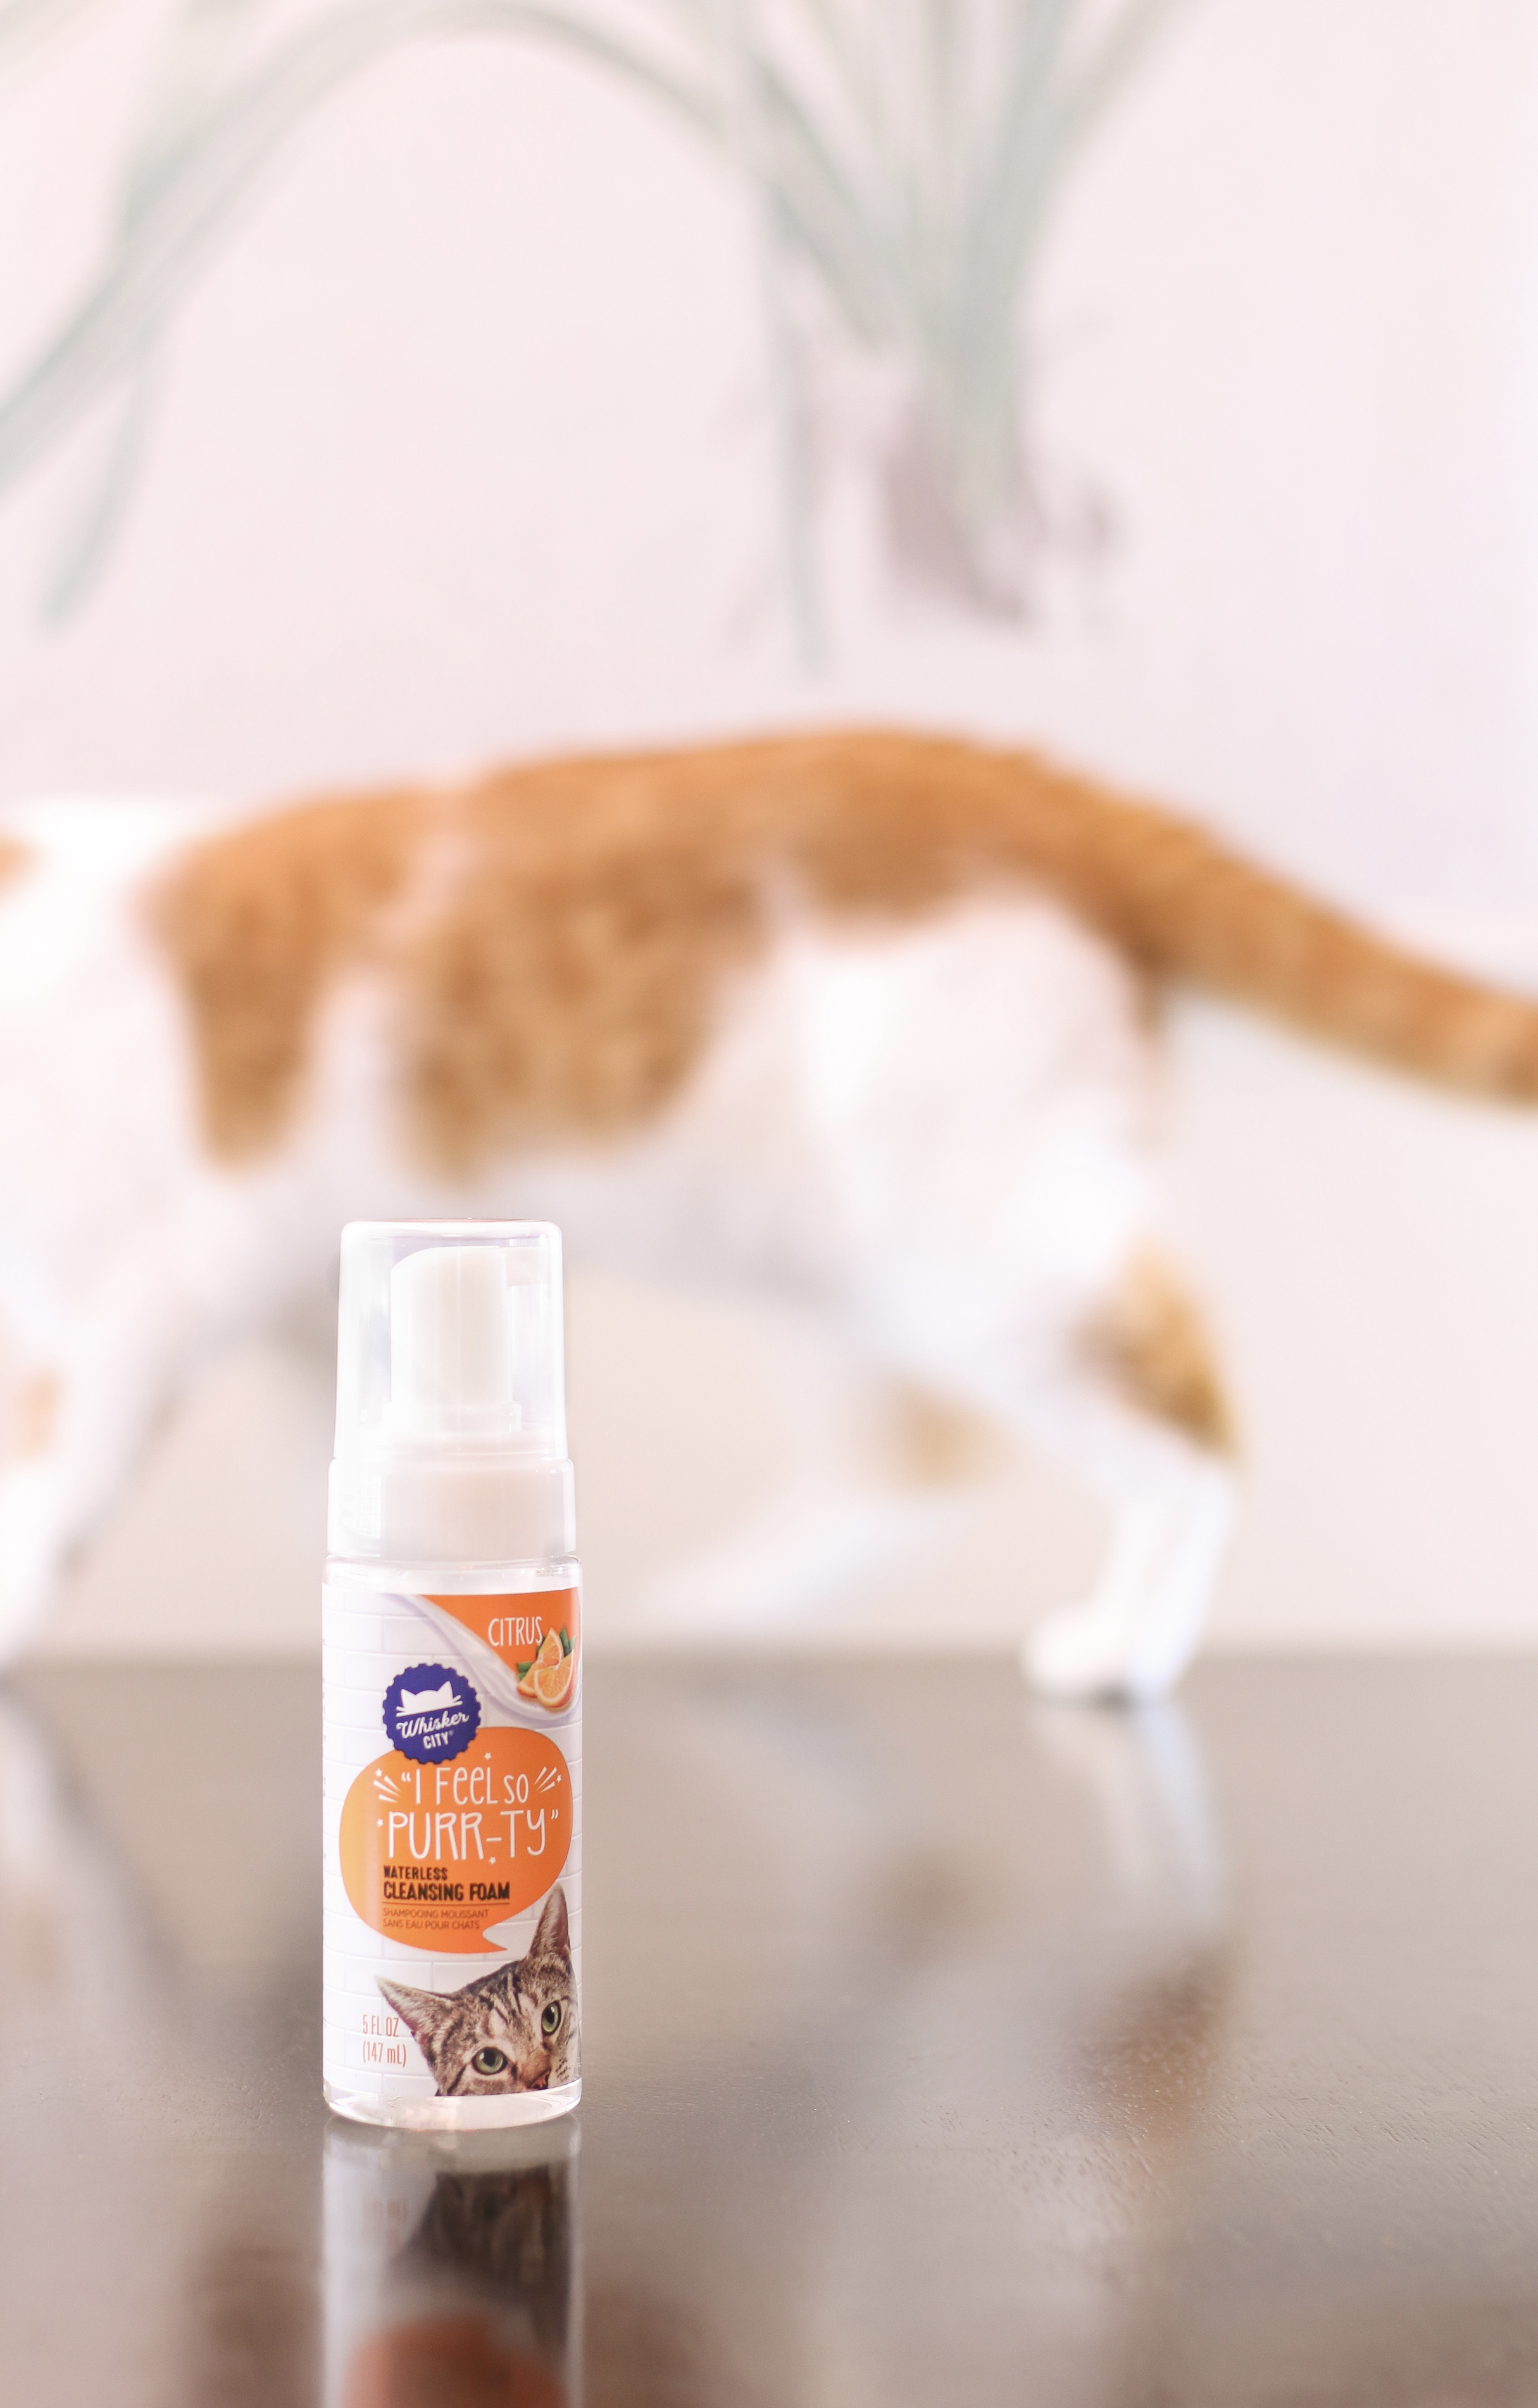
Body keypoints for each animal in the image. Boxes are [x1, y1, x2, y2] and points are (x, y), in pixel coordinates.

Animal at [3, 728, 1538, 1696]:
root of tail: (997, 777)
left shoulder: (123, 1302)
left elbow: (43, 1482)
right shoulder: (291, 1300)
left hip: (972, 1237)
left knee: (1184, 1428)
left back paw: (1124, 1647)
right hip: (816, 1256)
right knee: (914, 1461)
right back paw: (725, 1618)